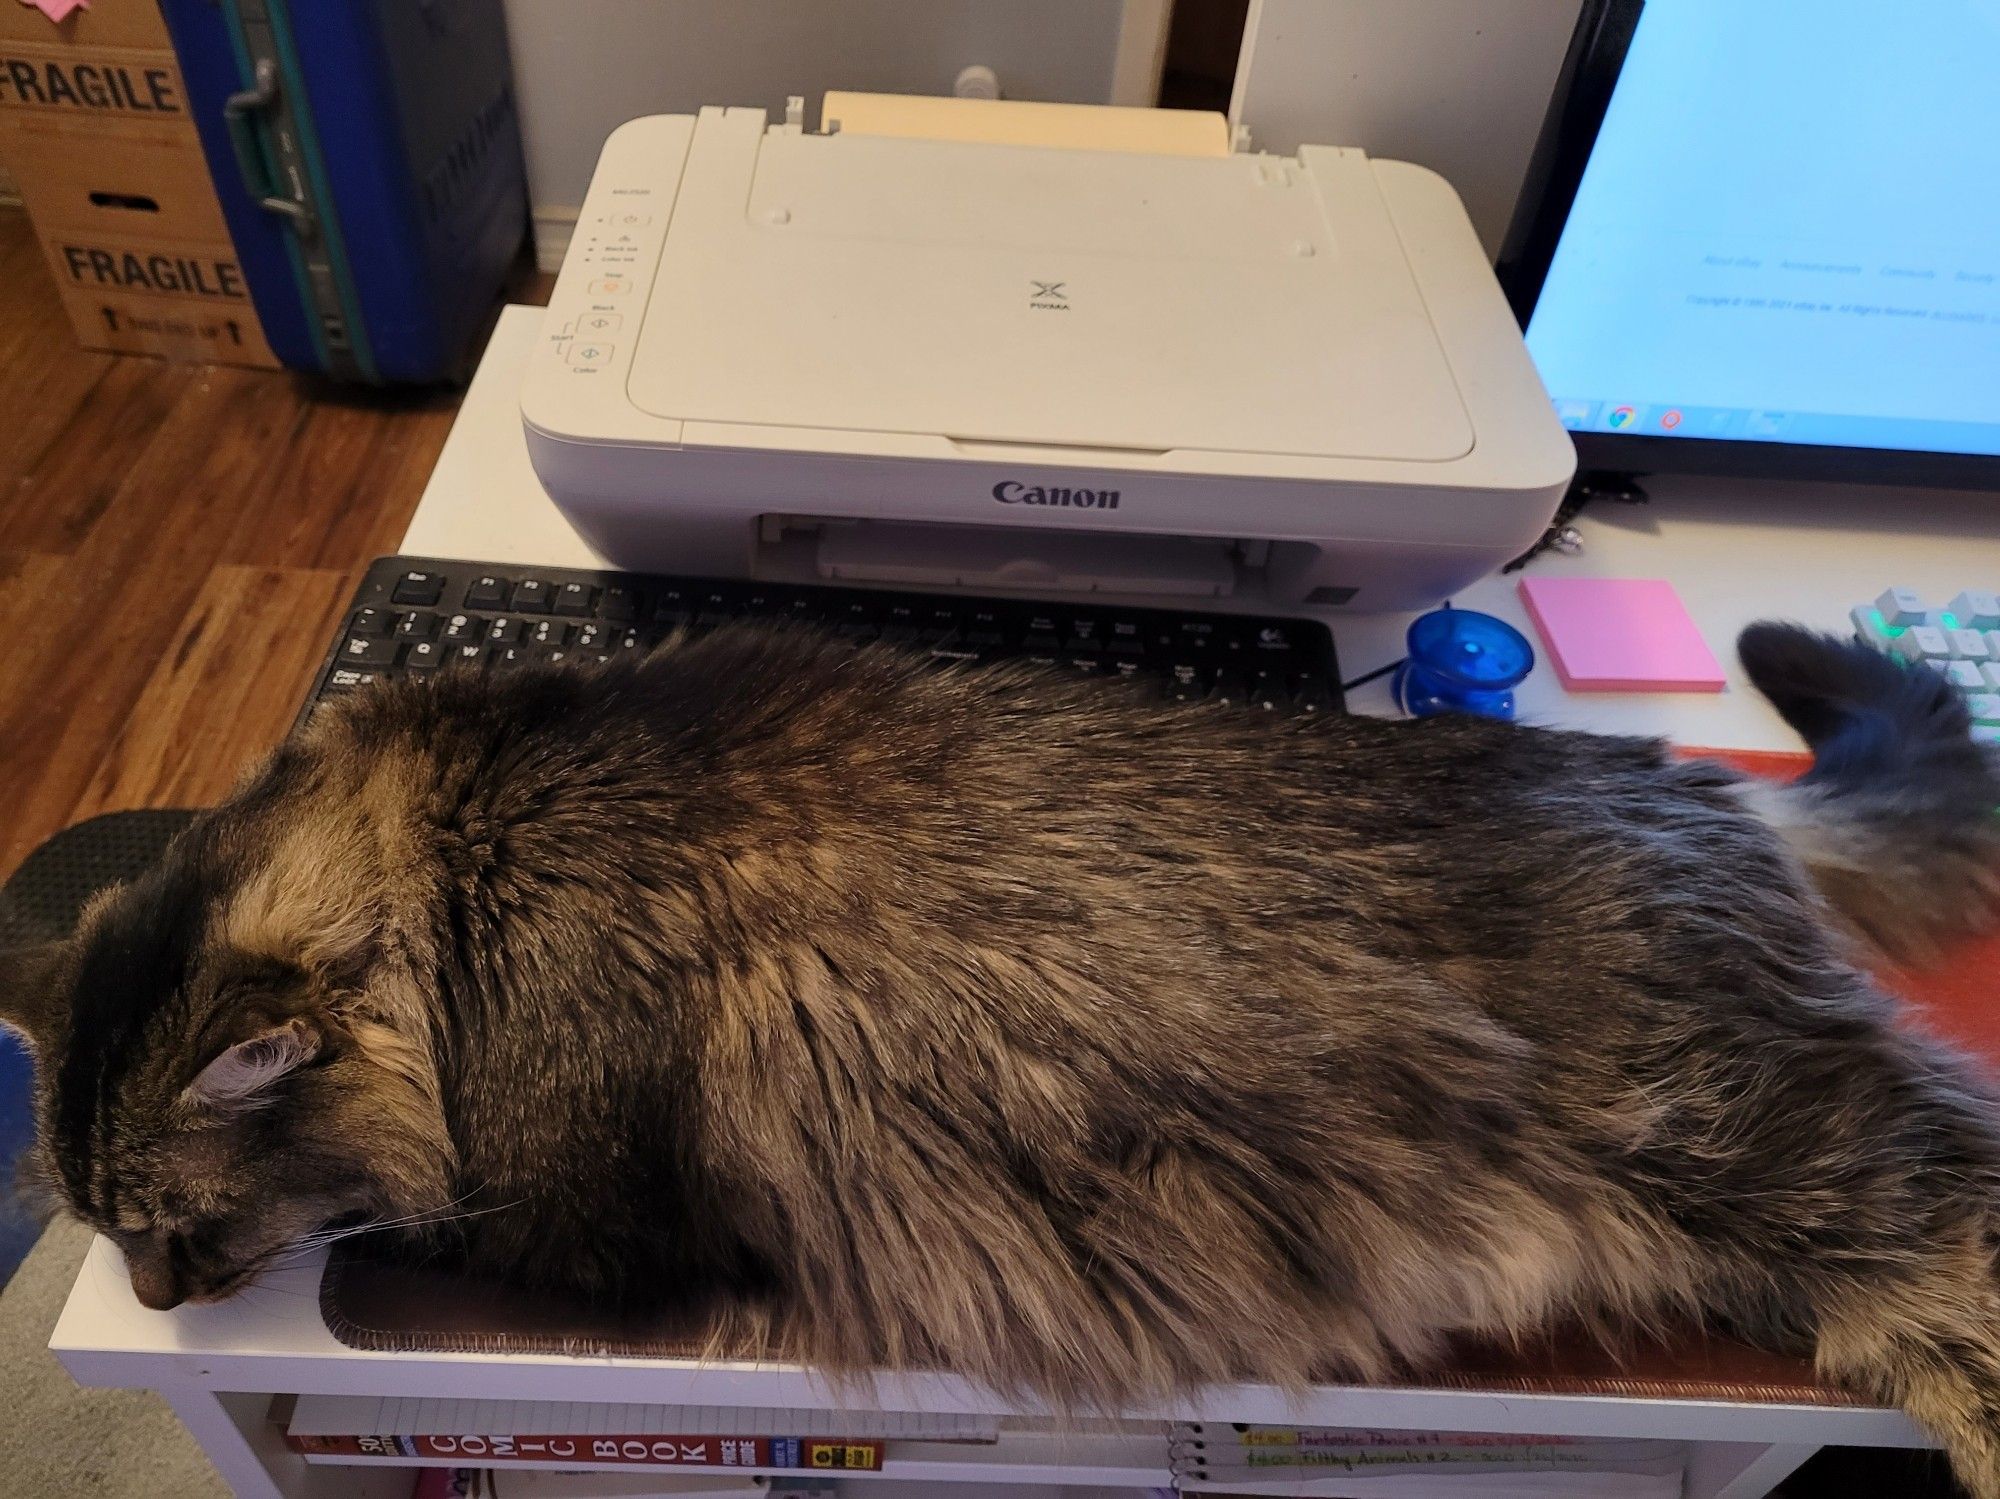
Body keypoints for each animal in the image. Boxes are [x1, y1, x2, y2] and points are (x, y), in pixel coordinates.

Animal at [3, 623, 2000, 1495]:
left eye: (168, 1223)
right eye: (109, 1230)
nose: (156, 1300)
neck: (437, 858)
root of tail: (1705, 793)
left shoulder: (573, 1218)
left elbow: (410, 1222)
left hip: (1777, 1151)